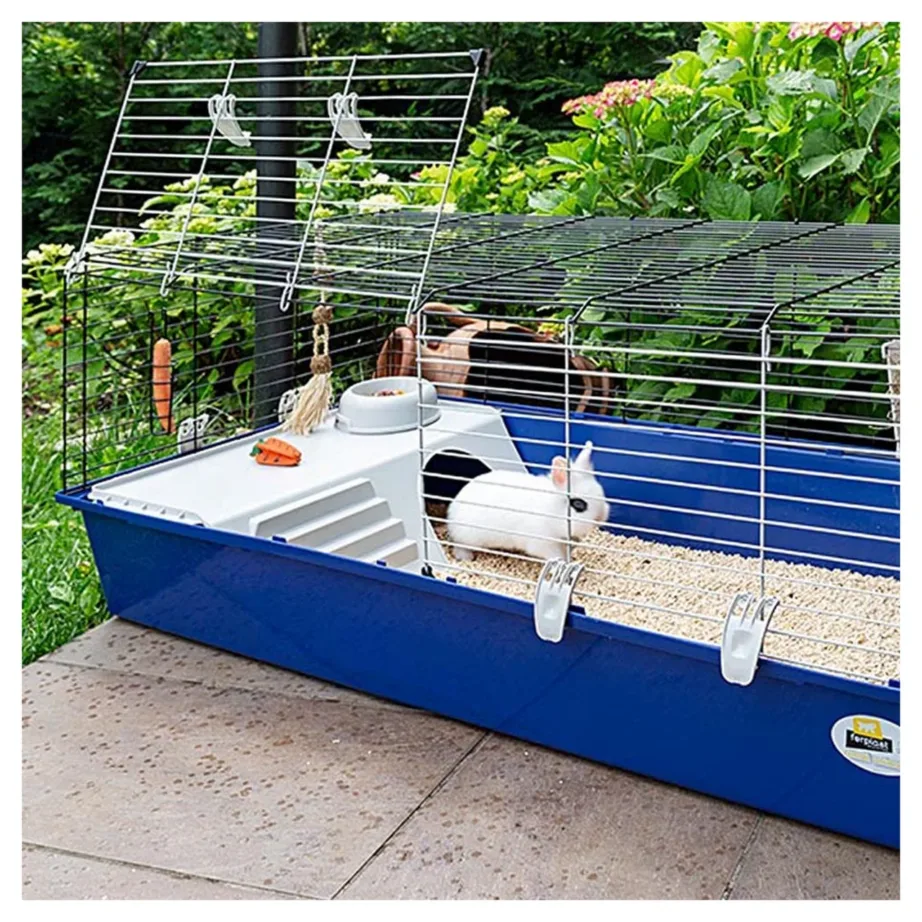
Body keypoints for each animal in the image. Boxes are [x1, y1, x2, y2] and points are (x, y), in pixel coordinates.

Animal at [446, 441, 610, 562]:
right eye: (578, 504)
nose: (600, 518)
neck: (551, 512)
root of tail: (451, 512)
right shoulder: (543, 544)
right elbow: (556, 556)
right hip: (469, 537)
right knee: (460, 545)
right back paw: (466, 558)